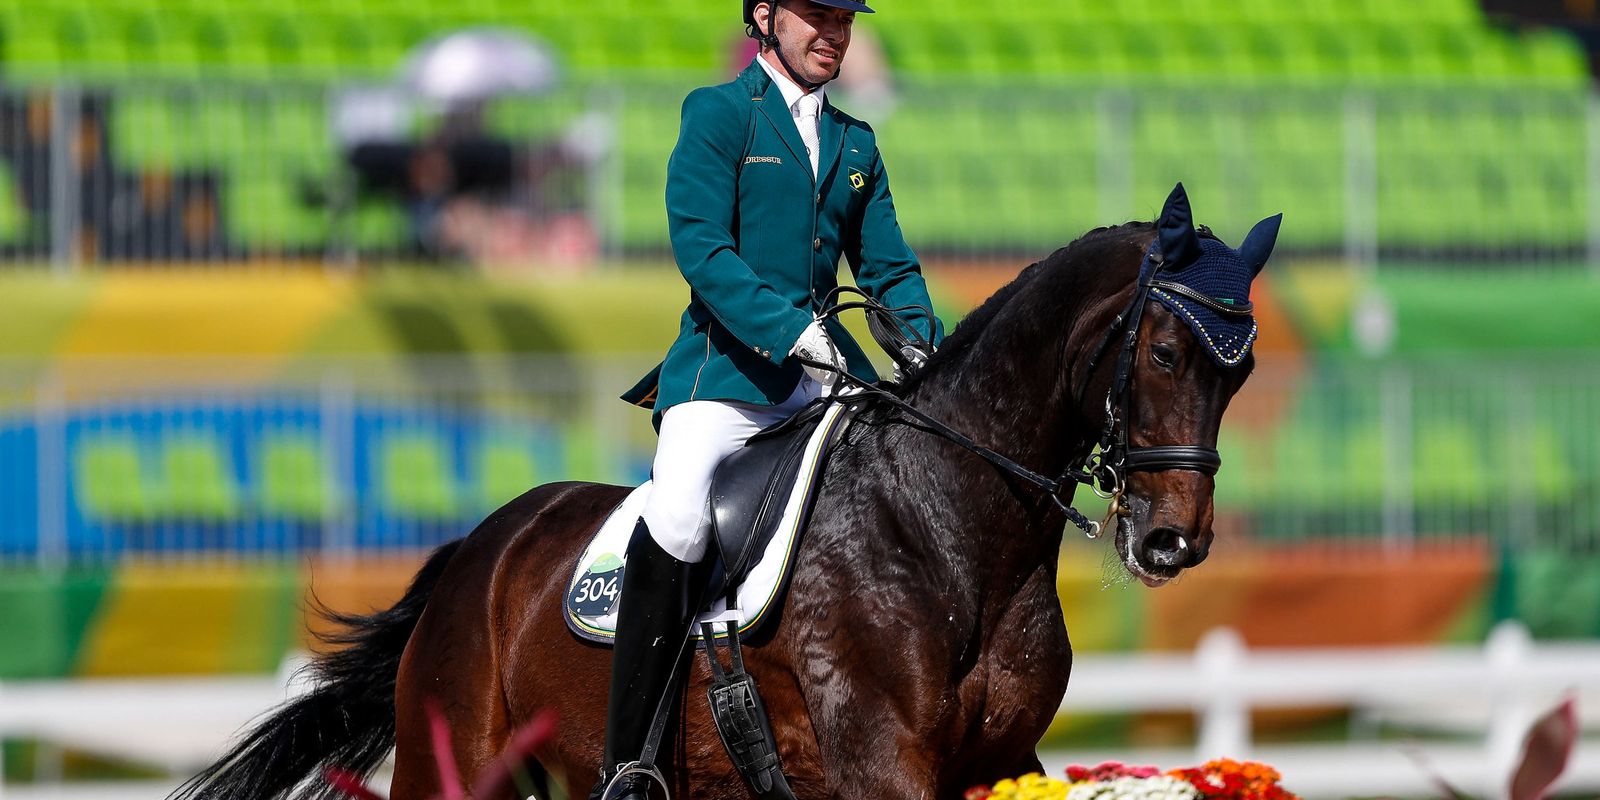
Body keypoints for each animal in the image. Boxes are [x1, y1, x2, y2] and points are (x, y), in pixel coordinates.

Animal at [172, 187, 1273, 800]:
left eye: (1244, 373)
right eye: (1165, 352)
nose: (1172, 543)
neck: (951, 528)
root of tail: (481, 547)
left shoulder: (1004, 759)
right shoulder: (883, 764)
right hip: (452, 766)